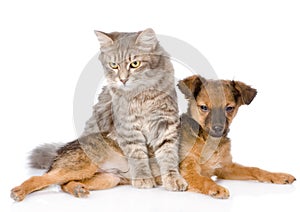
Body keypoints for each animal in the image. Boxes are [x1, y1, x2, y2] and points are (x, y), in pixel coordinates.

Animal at [10, 75, 296, 201]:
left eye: (230, 108)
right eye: (203, 107)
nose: (217, 129)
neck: (207, 141)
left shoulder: (225, 168)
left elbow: (256, 169)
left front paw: (279, 176)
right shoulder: (186, 169)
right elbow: (201, 179)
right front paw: (213, 188)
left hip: (106, 179)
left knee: (64, 184)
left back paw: (77, 190)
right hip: (81, 166)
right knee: (42, 179)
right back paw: (20, 191)